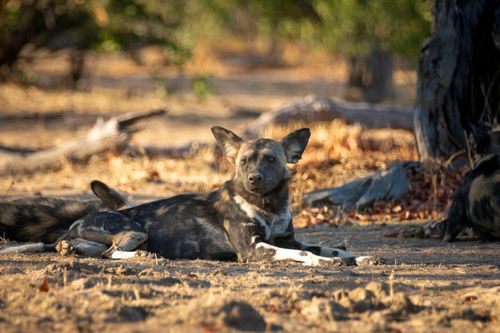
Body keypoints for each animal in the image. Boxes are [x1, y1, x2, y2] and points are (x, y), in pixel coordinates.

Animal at [54, 126, 382, 266]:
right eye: (244, 161)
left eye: (270, 160)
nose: (253, 178)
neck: (268, 206)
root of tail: (75, 223)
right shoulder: (254, 249)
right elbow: (308, 255)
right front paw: (325, 263)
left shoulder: (287, 240)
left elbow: (331, 248)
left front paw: (361, 257)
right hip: (134, 230)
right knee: (110, 253)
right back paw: (143, 256)